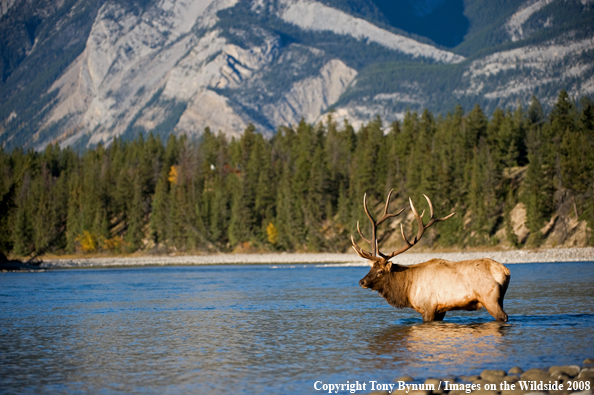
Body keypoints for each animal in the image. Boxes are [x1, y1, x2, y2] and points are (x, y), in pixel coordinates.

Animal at [352, 190, 508, 324]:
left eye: (380, 271)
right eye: (371, 268)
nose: (361, 282)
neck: (407, 289)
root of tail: (505, 271)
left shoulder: (428, 307)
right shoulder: (440, 310)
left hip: (490, 298)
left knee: (503, 316)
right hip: (499, 299)